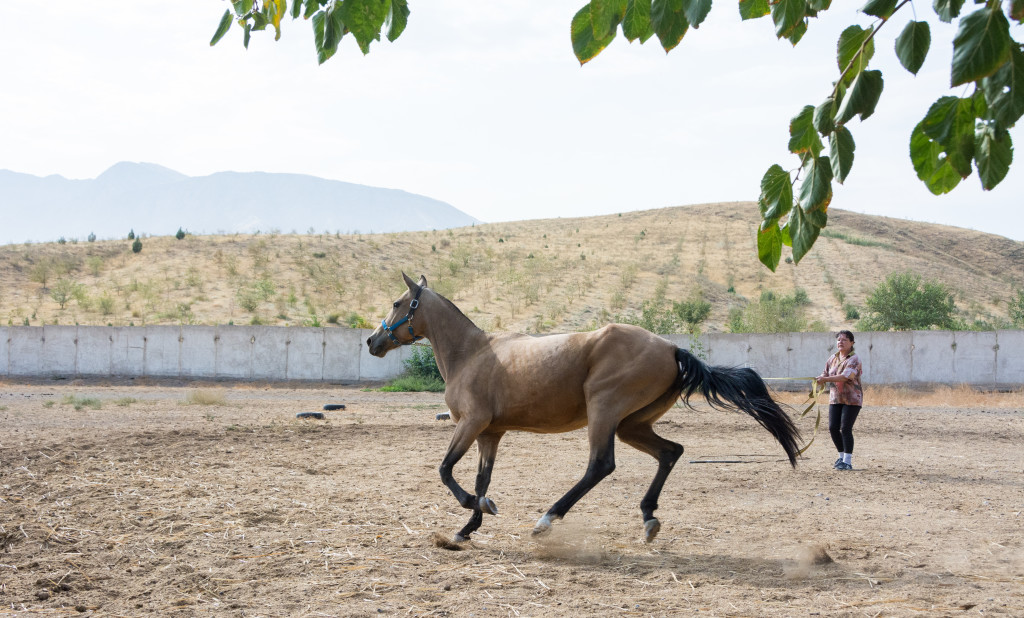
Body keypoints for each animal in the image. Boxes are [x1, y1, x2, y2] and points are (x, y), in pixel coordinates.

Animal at [364, 272, 802, 544]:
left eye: (397, 302)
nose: (371, 342)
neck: (471, 354)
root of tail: (672, 348)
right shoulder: (491, 432)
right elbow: (481, 479)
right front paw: (468, 527)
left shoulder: (470, 424)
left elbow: (446, 471)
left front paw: (477, 509)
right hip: (631, 425)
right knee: (671, 452)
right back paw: (648, 519)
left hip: (604, 412)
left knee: (600, 465)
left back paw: (546, 520)